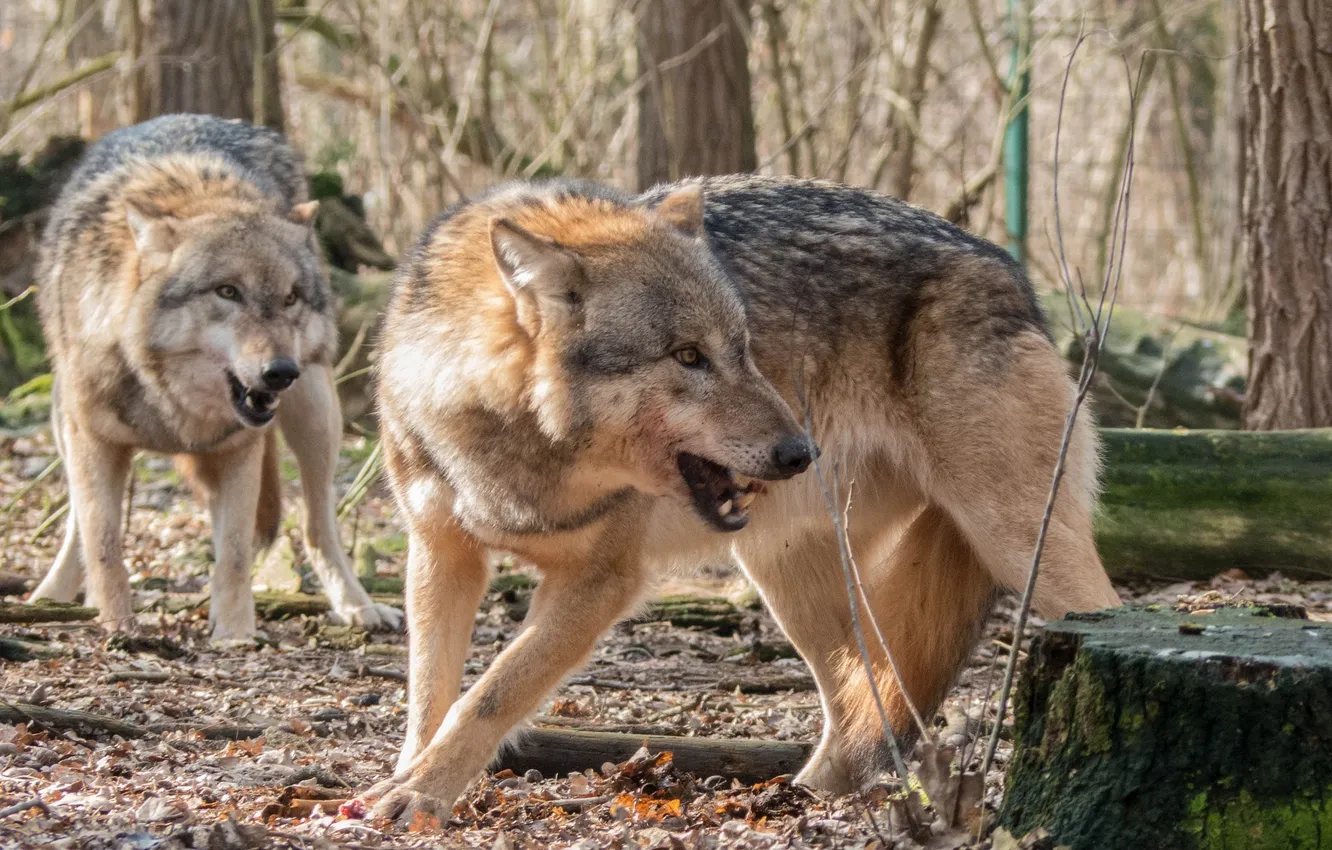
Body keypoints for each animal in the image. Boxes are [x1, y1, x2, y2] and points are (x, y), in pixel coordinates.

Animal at [29, 113, 401, 640]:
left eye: (290, 297)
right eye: (228, 292)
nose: (280, 372)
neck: (170, 401)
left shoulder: (239, 450)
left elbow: (236, 555)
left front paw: (235, 636)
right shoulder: (94, 442)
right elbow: (103, 543)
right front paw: (118, 624)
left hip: (316, 414)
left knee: (317, 527)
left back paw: (357, 606)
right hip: (64, 423)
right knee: (77, 526)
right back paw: (52, 596)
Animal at [363, 175, 1122, 821]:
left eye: (744, 347)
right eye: (687, 356)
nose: (799, 452)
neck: (514, 446)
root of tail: (1010, 271)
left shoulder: (601, 580)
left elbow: (490, 694)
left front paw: (419, 795)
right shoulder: (440, 554)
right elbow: (429, 695)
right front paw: (408, 781)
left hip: (1019, 545)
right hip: (790, 574)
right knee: (861, 697)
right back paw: (806, 798)